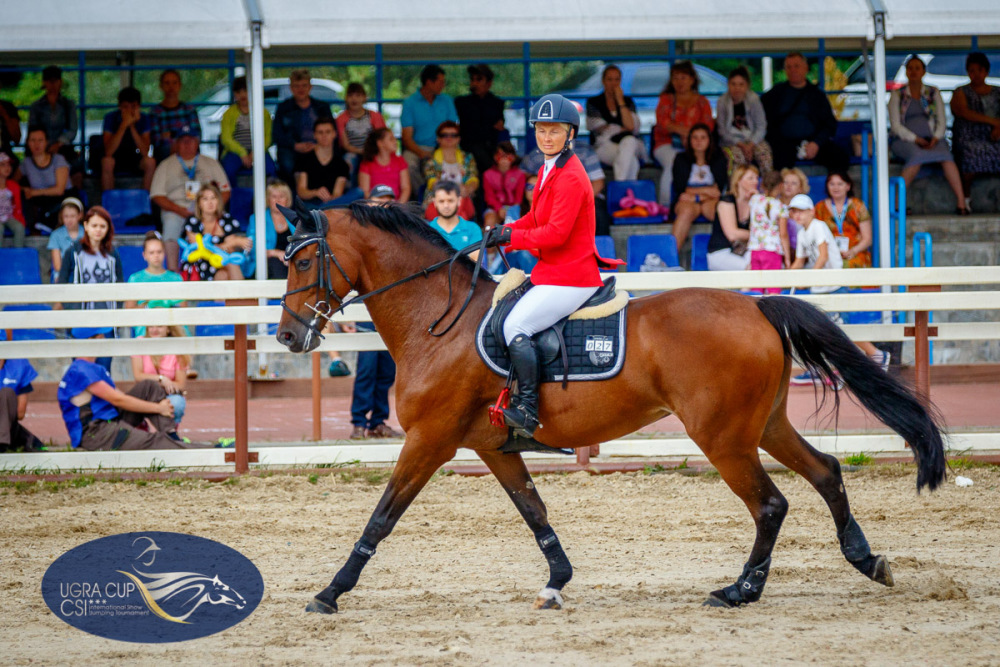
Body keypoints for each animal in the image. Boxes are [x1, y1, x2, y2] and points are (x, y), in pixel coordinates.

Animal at [276, 202, 944, 616]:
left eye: (304, 261)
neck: (436, 323)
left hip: (723, 436)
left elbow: (381, 519)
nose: (286, 338)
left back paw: (740, 591)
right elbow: (535, 513)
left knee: (770, 504)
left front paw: (330, 592)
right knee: (825, 472)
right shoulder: (492, 448)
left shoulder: (429, 441)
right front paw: (557, 582)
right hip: (767, 424)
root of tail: (756, 305)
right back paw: (867, 560)